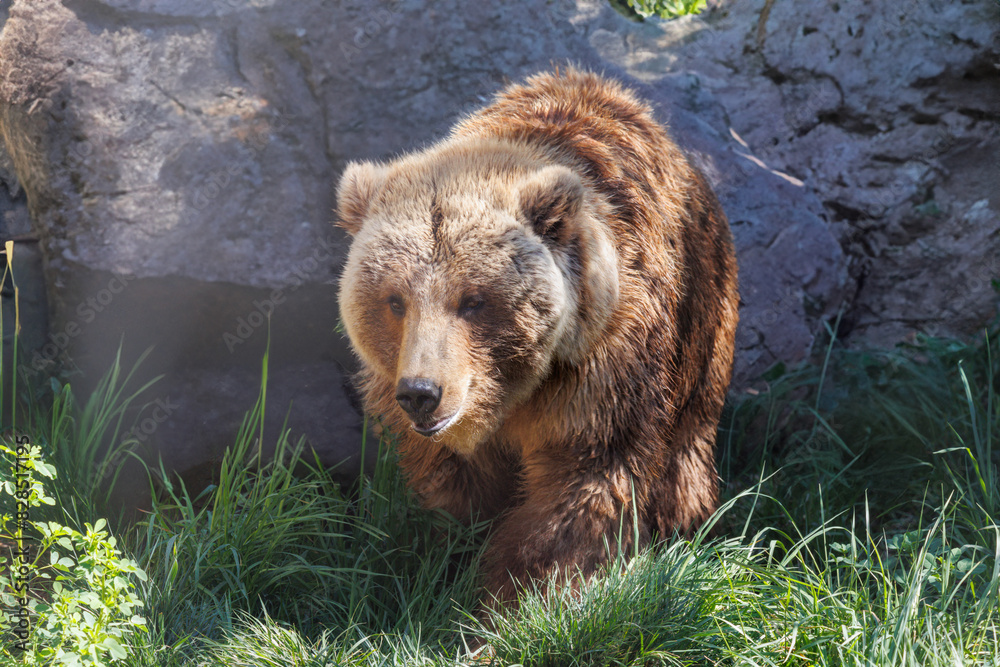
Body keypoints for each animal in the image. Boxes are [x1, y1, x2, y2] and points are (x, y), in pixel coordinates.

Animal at [336, 67, 739, 606]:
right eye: (395, 300)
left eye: (473, 300)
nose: (421, 393)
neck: (513, 393)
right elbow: (452, 489)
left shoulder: (602, 370)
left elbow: (581, 484)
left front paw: (522, 594)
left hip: (700, 330)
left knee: (683, 462)